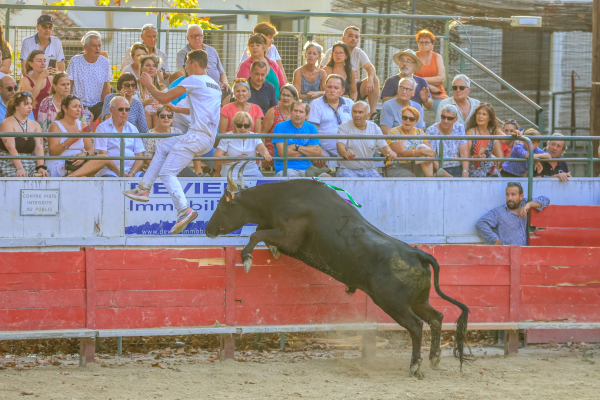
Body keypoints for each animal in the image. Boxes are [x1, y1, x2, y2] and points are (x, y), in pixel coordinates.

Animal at [206, 162, 468, 376]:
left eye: (222, 205)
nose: (208, 229)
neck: (280, 198)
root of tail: (417, 253)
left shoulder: (290, 238)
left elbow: (256, 233)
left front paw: (247, 258)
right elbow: (261, 230)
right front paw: (269, 250)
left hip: (393, 303)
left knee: (416, 325)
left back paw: (415, 365)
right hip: (417, 301)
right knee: (436, 318)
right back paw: (434, 358)